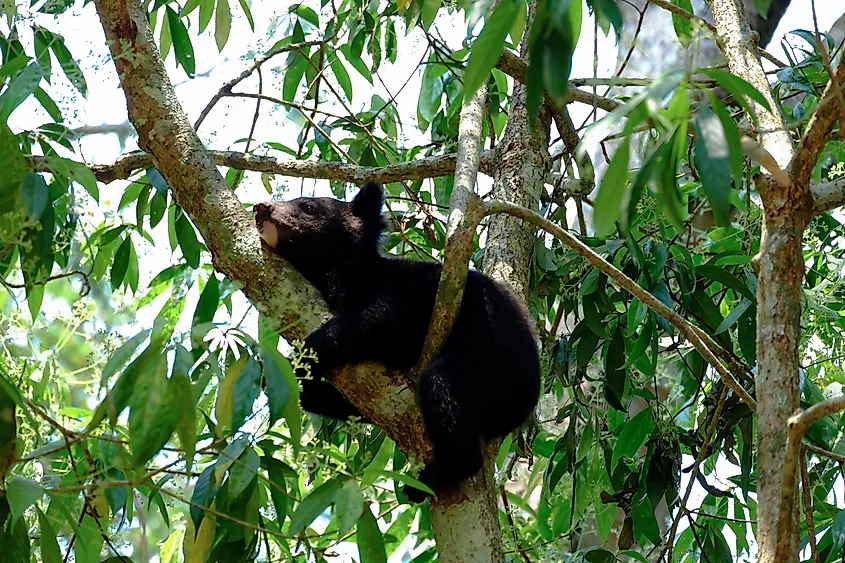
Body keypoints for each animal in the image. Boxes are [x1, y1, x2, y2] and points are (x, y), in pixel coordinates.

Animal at [253, 181, 541, 502]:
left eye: (309, 207)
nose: (261, 207)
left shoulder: (408, 292)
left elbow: (381, 318)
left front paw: (304, 353)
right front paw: (273, 373)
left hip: (486, 362)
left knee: (440, 385)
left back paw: (432, 478)